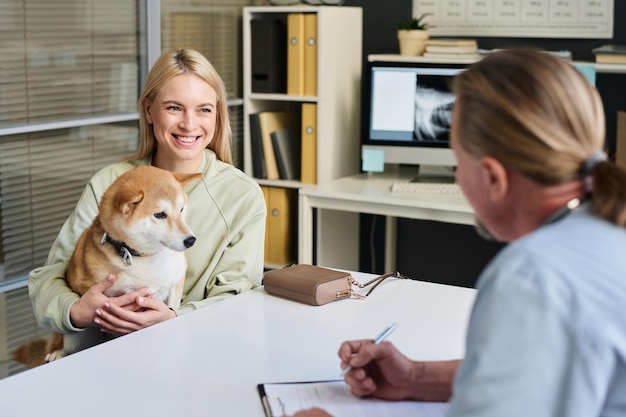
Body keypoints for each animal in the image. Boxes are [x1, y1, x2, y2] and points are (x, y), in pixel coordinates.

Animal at [13, 164, 200, 366]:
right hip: (73, 337)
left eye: (181, 209)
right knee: (63, 343)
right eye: (160, 215)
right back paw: (56, 354)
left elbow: (172, 306)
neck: (144, 256)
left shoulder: (175, 283)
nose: (190, 240)